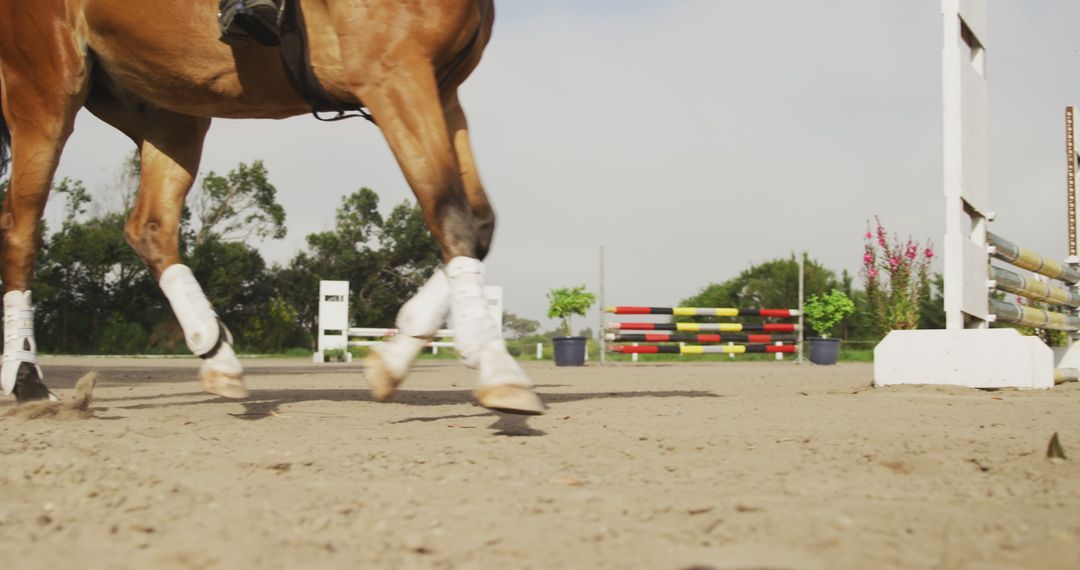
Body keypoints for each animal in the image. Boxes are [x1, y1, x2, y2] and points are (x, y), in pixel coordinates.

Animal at [0, 0, 544, 414]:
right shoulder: (395, 75)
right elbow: (450, 212)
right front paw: (497, 368)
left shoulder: (441, 89)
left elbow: (479, 223)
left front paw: (392, 362)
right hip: (46, 90)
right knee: (21, 231)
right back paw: (27, 381)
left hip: (171, 108)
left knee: (149, 226)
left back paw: (217, 355)